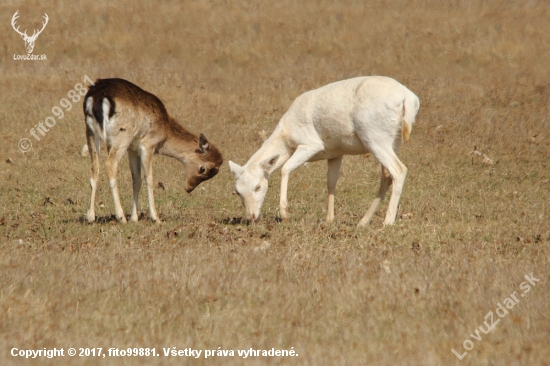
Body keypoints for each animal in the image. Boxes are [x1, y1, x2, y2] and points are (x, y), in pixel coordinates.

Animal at [231, 76, 420, 226]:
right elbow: (331, 182)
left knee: (399, 170)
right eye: (237, 191)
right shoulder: (335, 154)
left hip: (375, 139)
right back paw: (363, 222)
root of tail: (407, 98)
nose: (250, 217)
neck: (286, 134)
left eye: (258, 186)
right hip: (392, 142)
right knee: (386, 177)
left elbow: (285, 168)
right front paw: (329, 219)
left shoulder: (311, 145)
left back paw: (387, 222)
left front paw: (285, 214)